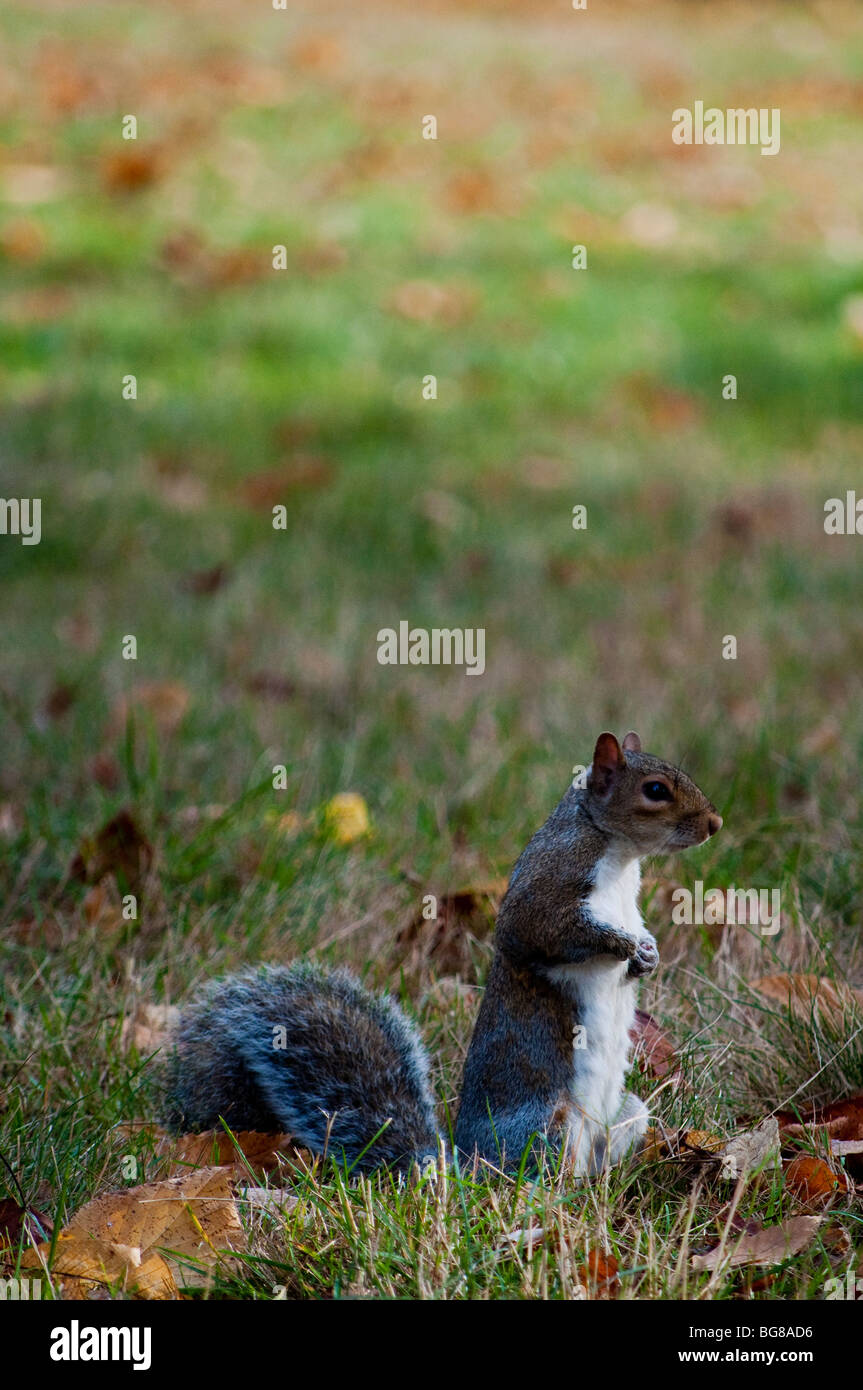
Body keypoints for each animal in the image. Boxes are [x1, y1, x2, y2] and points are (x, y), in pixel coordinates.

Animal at [163, 733, 722, 1178]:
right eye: (655, 790)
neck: (618, 855)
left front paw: (647, 955)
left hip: (627, 1113)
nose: (715, 823)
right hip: (548, 1126)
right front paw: (625, 946)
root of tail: (467, 1167)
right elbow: (539, 932)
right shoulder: (550, 884)